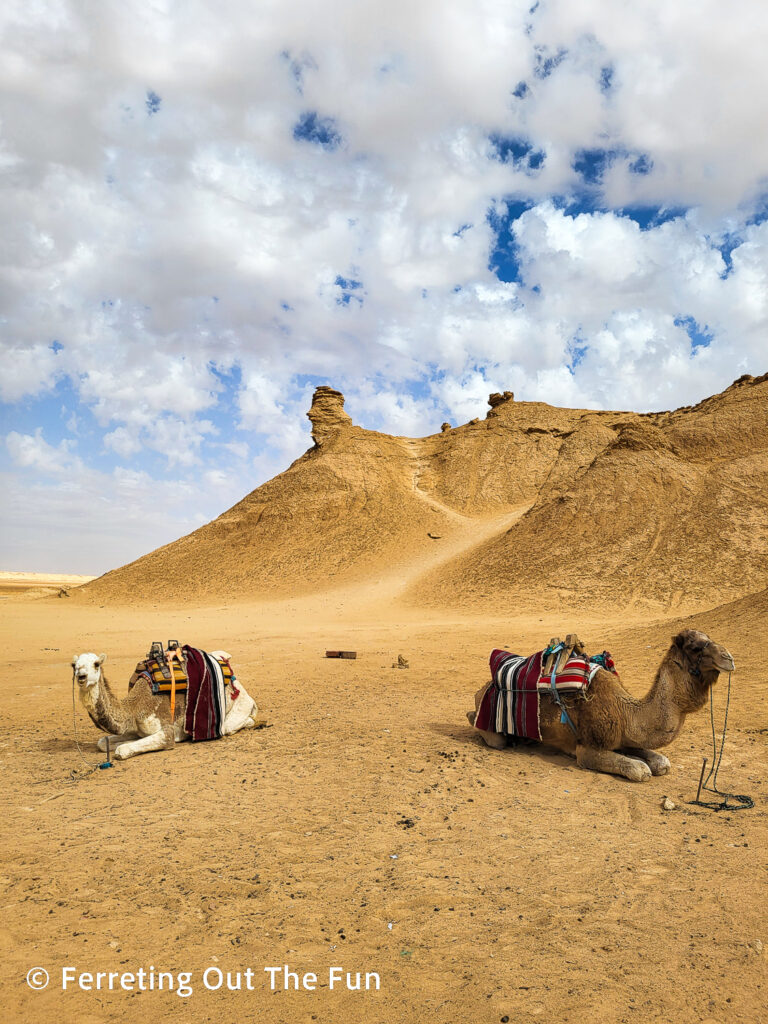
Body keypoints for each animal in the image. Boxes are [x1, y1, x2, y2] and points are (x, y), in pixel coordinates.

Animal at [473, 622, 737, 782]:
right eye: (695, 647)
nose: (729, 658)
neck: (626, 712)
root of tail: (481, 690)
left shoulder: (625, 737)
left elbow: (661, 762)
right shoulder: (586, 748)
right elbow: (640, 769)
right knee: (488, 733)